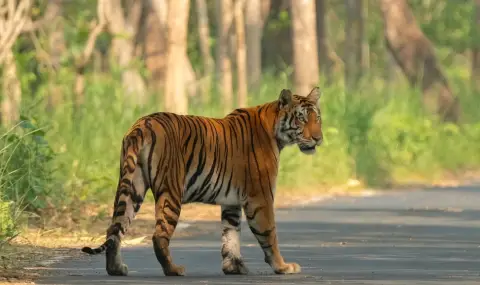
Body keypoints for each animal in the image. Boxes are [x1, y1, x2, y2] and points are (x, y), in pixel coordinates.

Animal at [81, 86, 322, 276]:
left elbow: (231, 234)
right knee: (159, 235)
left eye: (317, 118)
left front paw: (234, 267)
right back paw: (173, 270)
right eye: (301, 118)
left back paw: (116, 269)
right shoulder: (260, 197)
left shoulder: (232, 202)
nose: (318, 138)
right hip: (170, 190)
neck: (275, 130)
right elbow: (269, 234)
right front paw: (283, 267)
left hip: (132, 186)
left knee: (114, 229)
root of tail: (142, 124)